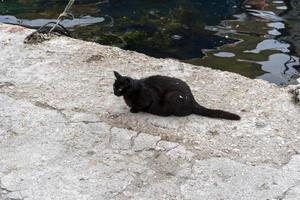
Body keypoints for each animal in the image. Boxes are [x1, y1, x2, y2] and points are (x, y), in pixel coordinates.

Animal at [113, 70, 241, 119]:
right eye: (114, 86)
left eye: (120, 88)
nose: (114, 92)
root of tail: (192, 100)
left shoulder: (147, 97)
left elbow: (142, 105)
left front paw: (134, 109)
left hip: (172, 95)